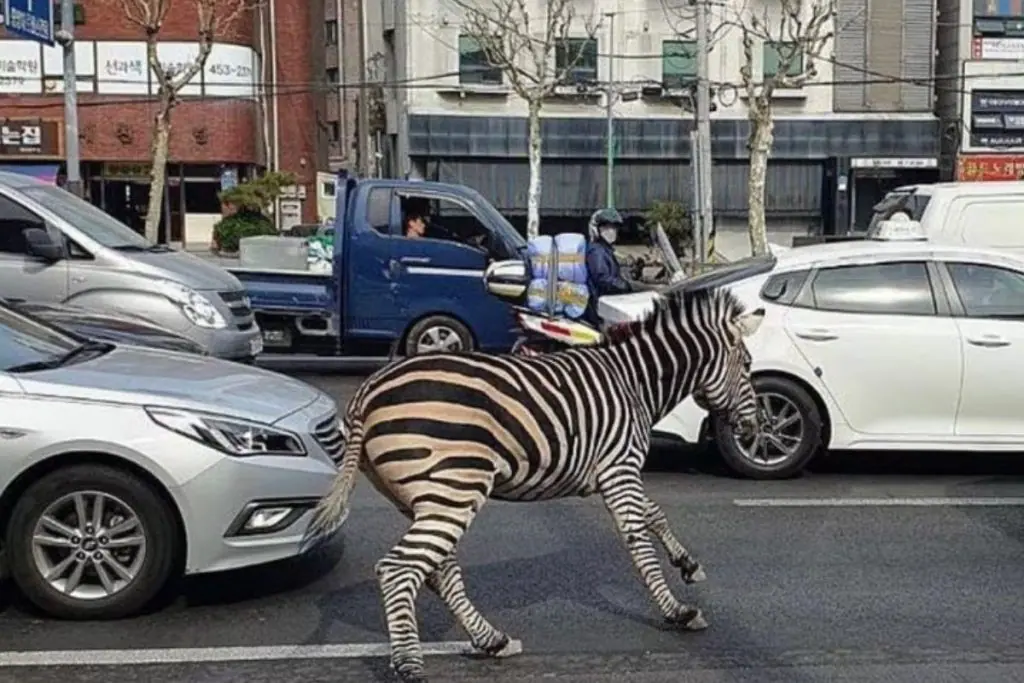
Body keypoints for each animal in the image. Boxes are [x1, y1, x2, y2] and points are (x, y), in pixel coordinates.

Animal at [301, 286, 765, 683]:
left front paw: (687, 564)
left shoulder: (615, 471)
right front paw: (678, 611)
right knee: (400, 568)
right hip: (454, 488)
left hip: (426, 496)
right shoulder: (620, 468)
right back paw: (411, 666)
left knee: (439, 570)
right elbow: (638, 541)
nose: (754, 428)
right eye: (747, 365)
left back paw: (490, 640)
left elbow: (655, 514)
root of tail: (367, 392)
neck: (635, 383)